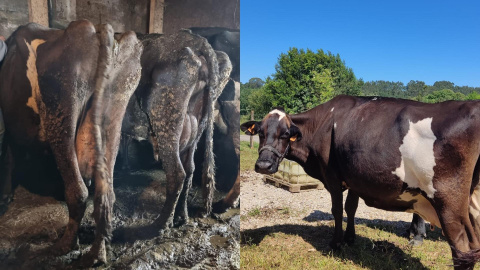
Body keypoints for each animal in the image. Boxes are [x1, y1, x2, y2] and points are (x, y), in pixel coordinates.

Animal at [0, 21, 142, 266]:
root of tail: (97, 31)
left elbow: (8, 156)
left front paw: (6, 195)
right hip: (116, 107)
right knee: (106, 193)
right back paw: (98, 253)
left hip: (62, 110)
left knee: (78, 191)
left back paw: (65, 245)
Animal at [120, 30, 232, 231]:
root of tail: (198, 42)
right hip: (196, 125)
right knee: (190, 169)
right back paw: (182, 216)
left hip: (166, 118)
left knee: (177, 173)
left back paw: (161, 224)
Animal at [244, 94, 480, 268]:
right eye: (261, 133)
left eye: (286, 134)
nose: (263, 165)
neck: (322, 123)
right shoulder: (355, 177)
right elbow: (351, 208)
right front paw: (350, 238)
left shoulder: (333, 176)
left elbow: (337, 209)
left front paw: (336, 242)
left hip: (448, 200)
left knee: (463, 249)